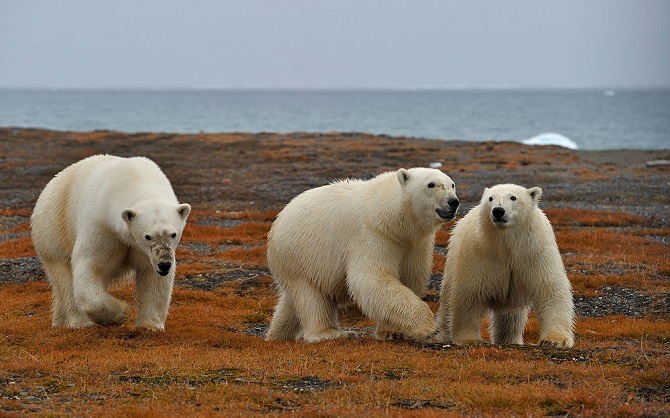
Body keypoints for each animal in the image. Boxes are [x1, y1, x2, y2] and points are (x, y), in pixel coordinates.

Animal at [32, 153, 193, 330]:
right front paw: (123, 312)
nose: (164, 264)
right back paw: (80, 322)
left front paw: (149, 326)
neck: (135, 179)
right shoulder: (101, 226)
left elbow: (152, 276)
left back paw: (59, 321)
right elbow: (90, 265)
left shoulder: (145, 252)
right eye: (147, 236)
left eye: (173, 234)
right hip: (55, 228)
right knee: (64, 276)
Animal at [266, 167, 460, 342]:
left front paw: (392, 331)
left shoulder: (414, 244)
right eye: (431, 184)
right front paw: (428, 327)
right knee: (311, 296)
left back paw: (277, 335)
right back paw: (330, 333)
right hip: (302, 256)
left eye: (452, 184)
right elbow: (372, 277)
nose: (453, 201)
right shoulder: (373, 236)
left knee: (292, 301)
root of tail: (279, 219)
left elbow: (410, 277)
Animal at [436, 185, 576, 348]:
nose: (498, 210)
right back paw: (445, 335)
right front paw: (470, 339)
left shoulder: (535, 252)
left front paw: (554, 340)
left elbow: (549, 288)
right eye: (490, 198)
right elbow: (470, 293)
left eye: (513, 197)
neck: (506, 244)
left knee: (511, 316)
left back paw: (510, 339)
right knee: (447, 299)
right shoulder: (480, 254)